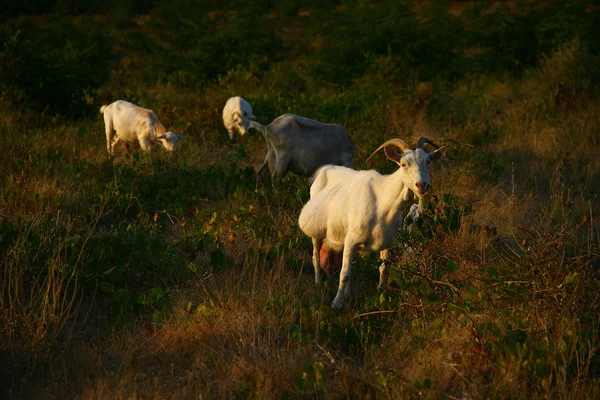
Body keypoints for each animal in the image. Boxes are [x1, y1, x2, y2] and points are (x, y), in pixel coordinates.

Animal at [300, 136, 446, 308]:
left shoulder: (386, 242)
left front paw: (381, 292)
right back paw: (319, 283)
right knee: (316, 256)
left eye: (428, 161)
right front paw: (336, 303)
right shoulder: (351, 240)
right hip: (316, 232)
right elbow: (344, 273)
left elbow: (383, 268)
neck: (382, 202)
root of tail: (324, 169)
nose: (422, 185)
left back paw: (347, 293)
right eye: (404, 164)